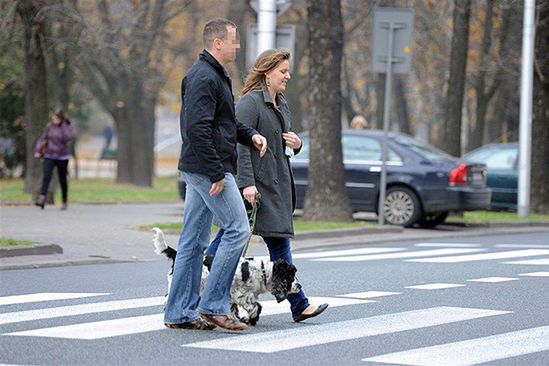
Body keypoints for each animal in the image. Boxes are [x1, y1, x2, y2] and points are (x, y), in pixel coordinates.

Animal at [152, 227, 302, 324]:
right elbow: (256, 307)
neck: (263, 271)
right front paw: (251, 319)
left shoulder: (230, 296)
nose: (299, 286)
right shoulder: (241, 295)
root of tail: (177, 254)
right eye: (290, 277)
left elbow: (233, 309)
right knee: (168, 299)